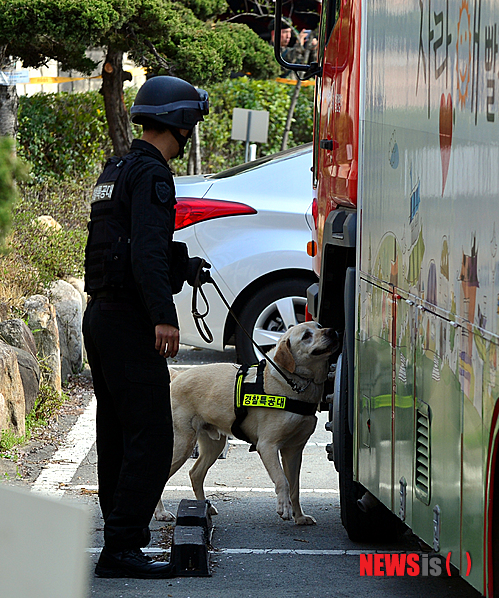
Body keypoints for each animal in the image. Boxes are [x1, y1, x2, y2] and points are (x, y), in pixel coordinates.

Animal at [154, 324, 338, 524]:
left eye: (318, 326)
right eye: (306, 336)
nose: (332, 331)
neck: (292, 382)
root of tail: (177, 376)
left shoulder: (294, 450)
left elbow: (295, 487)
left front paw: (300, 516)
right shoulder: (267, 446)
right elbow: (282, 480)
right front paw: (284, 507)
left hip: (214, 444)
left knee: (195, 473)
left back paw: (204, 507)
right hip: (183, 443)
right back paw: (160, 513)